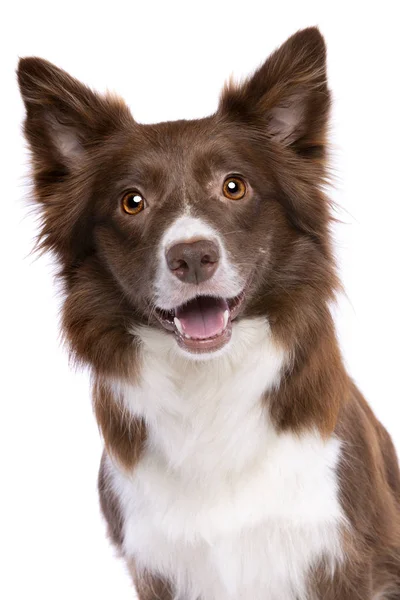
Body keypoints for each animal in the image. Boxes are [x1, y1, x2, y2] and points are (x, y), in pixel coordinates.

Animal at [17, 27, 400, 600]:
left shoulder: (344, 557)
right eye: (132, 201)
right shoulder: (158, 563)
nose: (193, 256)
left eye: (233, 185)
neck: (208, 387)